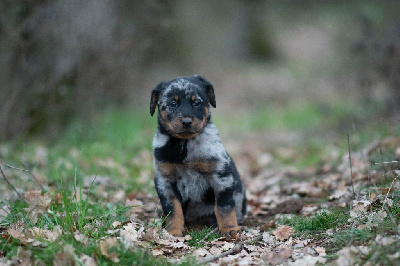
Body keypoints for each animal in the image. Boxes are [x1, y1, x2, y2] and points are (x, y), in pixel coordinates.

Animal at [150, 75, 245, 239]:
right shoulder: (165, 180)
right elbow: (173, 209)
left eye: (197, 102)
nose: (187, 122)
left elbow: (224, 207)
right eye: (173, 103)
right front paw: (173, 232)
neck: (185, 146)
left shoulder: (221, 176)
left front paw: (230, 229)